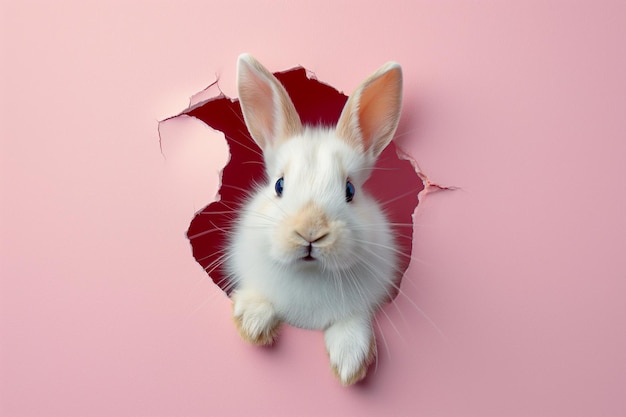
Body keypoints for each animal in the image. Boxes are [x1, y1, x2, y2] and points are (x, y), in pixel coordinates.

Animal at [227, 53, 402, 386]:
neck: (310, 273)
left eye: (350, 190)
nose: (311, 232)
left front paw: (349, 365)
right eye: (279, 185)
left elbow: (351, 324)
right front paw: (253, 324)